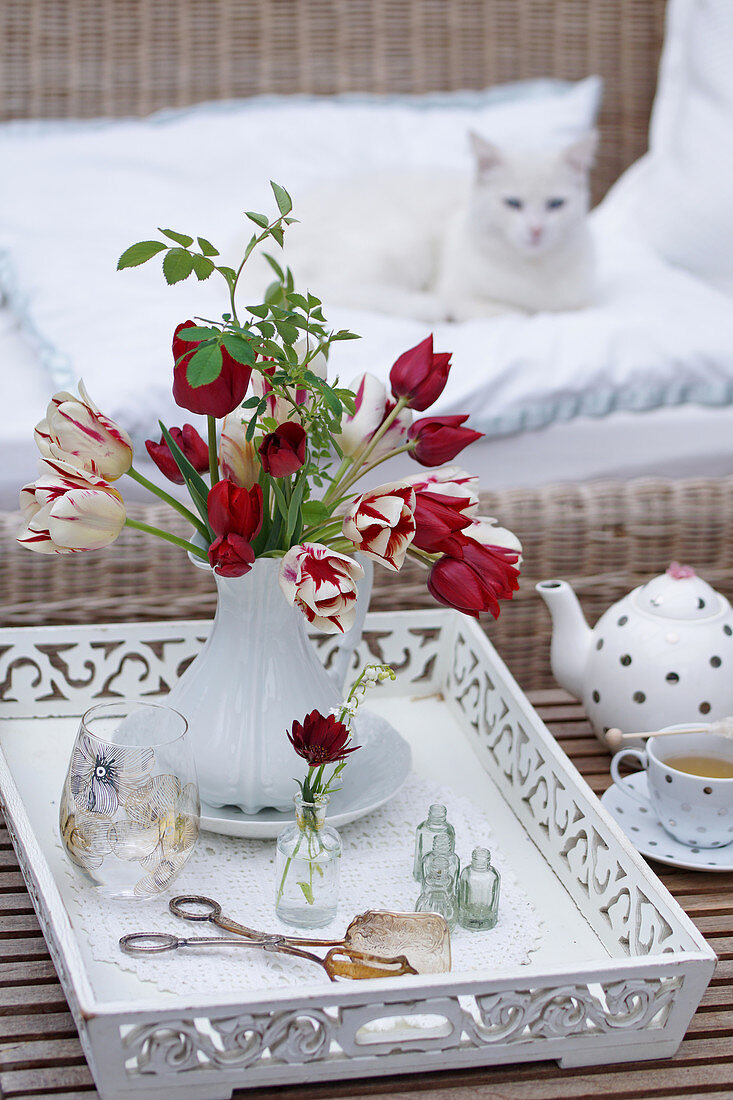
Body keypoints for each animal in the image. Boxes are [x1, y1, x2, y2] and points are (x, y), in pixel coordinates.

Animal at [270, 131, 598, 321]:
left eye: (556, 204)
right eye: (513, 203)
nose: (536, 229)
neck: (534, 271)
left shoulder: (577, 302)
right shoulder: (456, 292)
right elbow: (507, 313)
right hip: (404, 242)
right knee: (336, 291)